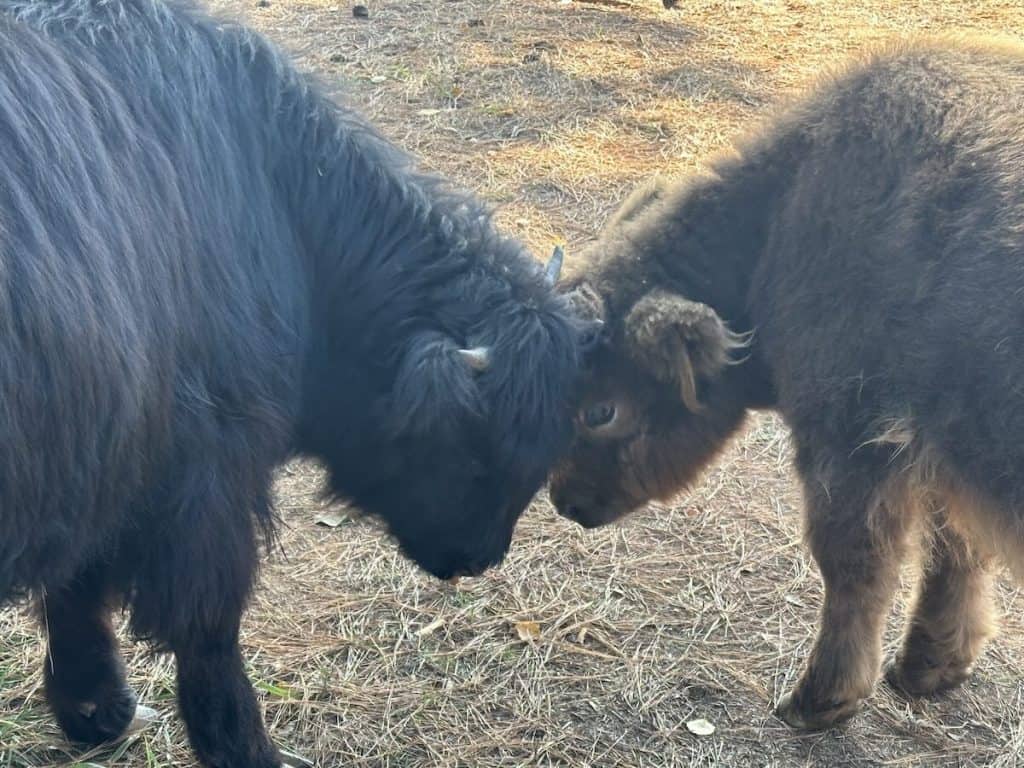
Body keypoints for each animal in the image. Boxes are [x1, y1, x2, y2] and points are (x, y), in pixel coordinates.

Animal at [0, 1, 596, 766]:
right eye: (472, 450)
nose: (479, 557)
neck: (281, 202)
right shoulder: (205, 471)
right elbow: (206, 626)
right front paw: (243, 746)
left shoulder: (105, 461)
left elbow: (77, 588)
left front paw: (93, 710)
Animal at [550, 35, 1024, 731]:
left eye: (601, 410)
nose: (565, 501)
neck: (782, 214)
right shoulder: (943, 451)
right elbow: (954, 551)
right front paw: (929, 667)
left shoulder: (849, 440)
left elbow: (854, 565)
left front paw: (821, 698)